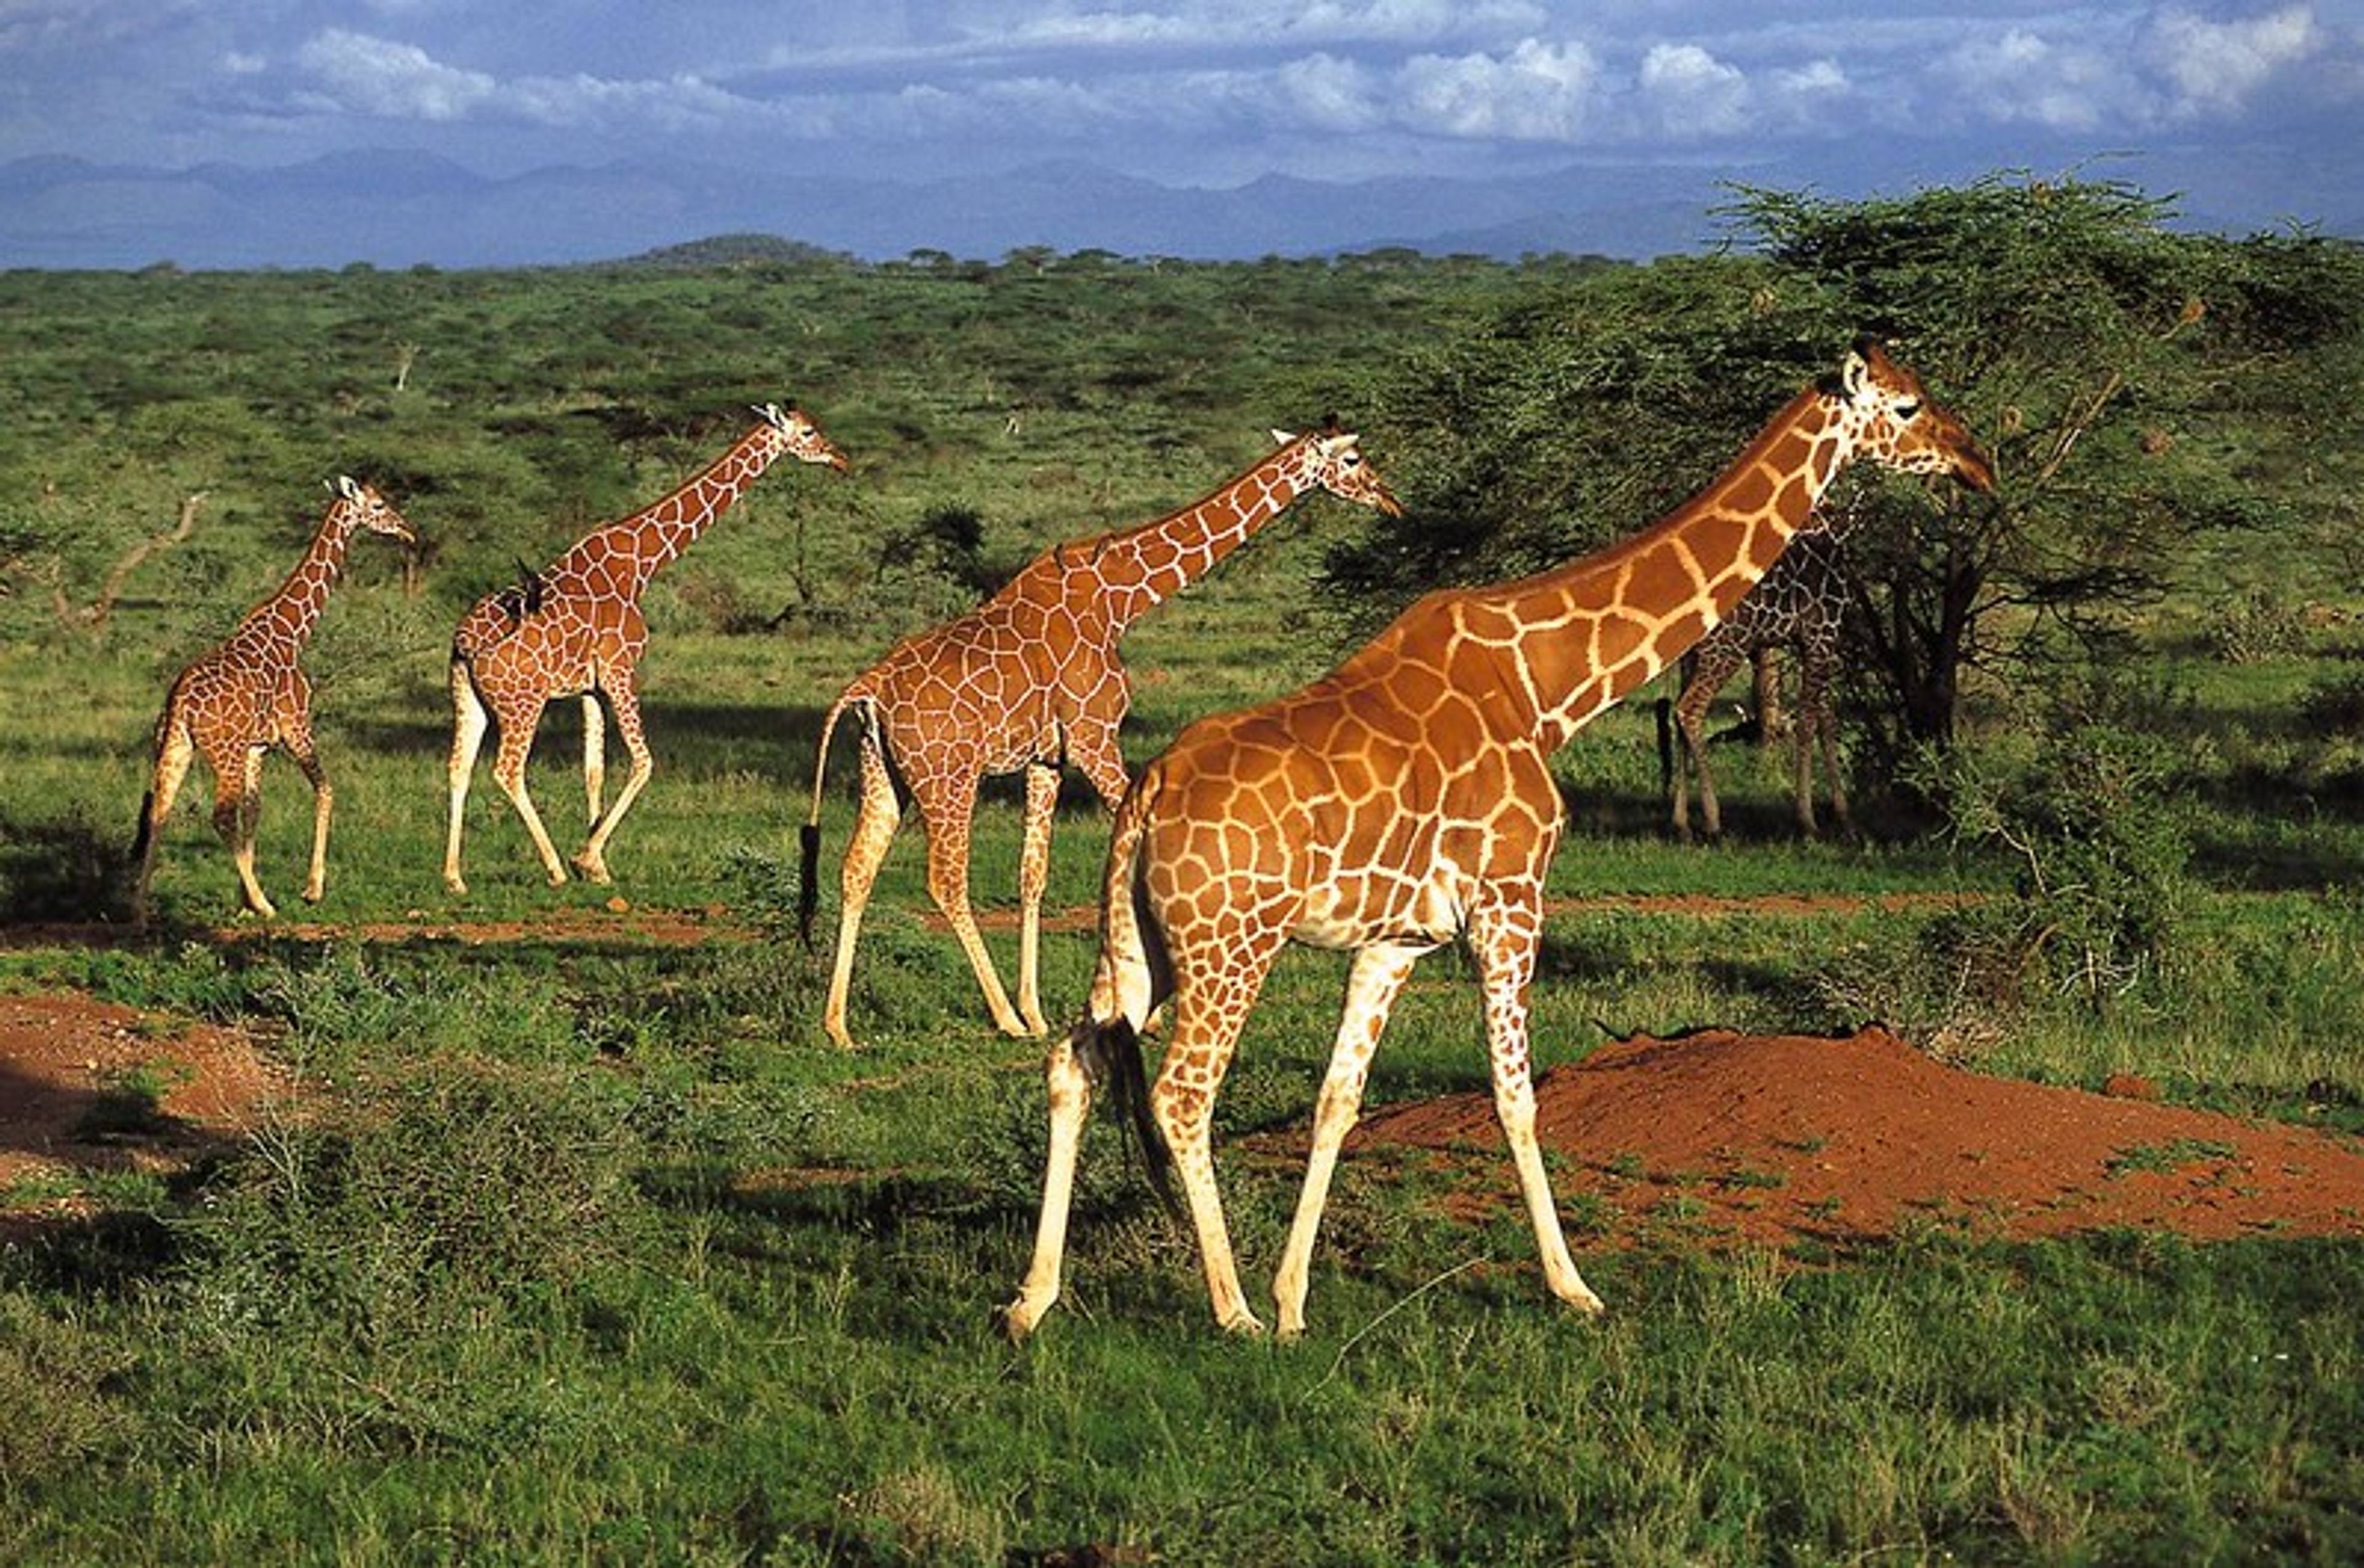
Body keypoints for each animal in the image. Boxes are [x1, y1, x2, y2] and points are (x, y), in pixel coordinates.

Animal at [132, 473, 416, 927]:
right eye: (377, 505)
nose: (408, 530)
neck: (292, 632)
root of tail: (180, 703)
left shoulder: (257, 747)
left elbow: (254, 813)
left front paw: (245, 900)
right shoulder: (296, 728)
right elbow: (326, 789)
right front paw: (308, 890)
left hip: (176, 745)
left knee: (161, 810)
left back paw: (139, 910)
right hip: (223, 752)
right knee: (220, 816)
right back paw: (267, 904)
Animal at [444, 404, 851, 894]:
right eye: (808, 432)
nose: (841, 459)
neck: (642, 563)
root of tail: (465, 641)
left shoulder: (590, 686)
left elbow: (594, 769)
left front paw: (596, 861)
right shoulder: (621, 670)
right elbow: (643, 762)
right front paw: (586, 859)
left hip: (469, 696)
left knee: (458, 767)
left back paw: (454, 877)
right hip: (523, 702)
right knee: (507, 770)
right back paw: (554, 868)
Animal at [803, 423, 1399, 1050]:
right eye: (1353, 459)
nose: (1390, 499)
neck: (1120, 597)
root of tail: (867, 689)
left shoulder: (1048, 758)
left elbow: (1033, 874)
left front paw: (1041, 1010)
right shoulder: (1095, 736)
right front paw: (1143, 1012)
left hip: (884, 770)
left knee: (856, 868)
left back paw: (839, 1024)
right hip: (948, 777)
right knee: (945, 880)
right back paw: (1003, 1017)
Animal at [997, 333, 1995, 1333]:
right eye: (1906, 407)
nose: (1976, 462)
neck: (1547, 685)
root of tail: (1148, 792)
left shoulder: (1396, 939)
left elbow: (1337, 1101)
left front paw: (1294, 1301)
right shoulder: (1512, 901)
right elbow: (1515, 1097)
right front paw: (1573, 1286)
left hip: (1137, 943)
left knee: (1075, 1060)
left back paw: (1033, 1299)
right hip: (1230, 943)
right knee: (1182, 1091)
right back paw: (1227, 1308)